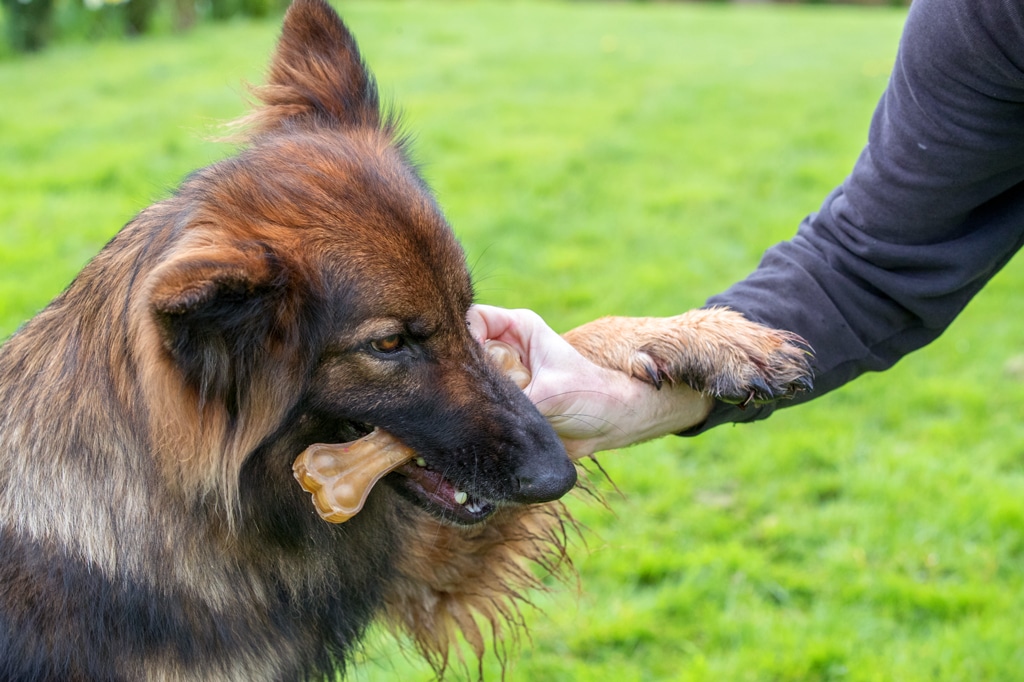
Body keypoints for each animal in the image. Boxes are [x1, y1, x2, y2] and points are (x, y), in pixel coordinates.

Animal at [0, 0, 811, 675]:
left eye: (464, 311)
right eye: (389, 346)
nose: (555, 475)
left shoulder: (424, 557)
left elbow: (574, 334)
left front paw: (711, 340)